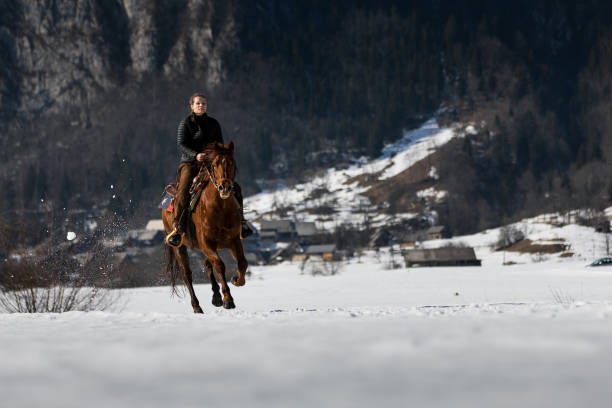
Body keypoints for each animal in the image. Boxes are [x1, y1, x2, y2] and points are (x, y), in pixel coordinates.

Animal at [163, 142, 251, 314]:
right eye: (215, 164)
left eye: (232, 163)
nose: (225, 187)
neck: (220, 208)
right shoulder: (206, 243)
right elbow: (220, 265)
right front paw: (228, 299)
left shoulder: (233, 241)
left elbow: (243, 263)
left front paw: (236, 280)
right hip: (179, 247)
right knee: (187, 275)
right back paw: (197, 306)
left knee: (207, 264)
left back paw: (216, 297)